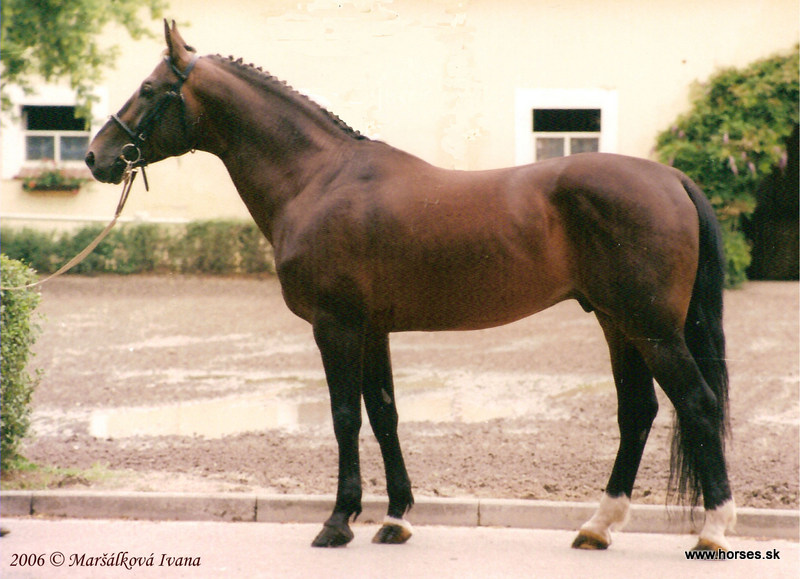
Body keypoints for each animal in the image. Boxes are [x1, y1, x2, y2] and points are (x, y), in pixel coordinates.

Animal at [86, 21, 736, 551]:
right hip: (617, 322)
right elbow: (385, 414)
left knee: (698, 404)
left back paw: (713, 529)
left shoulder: (337, 326)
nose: (96, 156)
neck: (318, 179)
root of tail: (672, 178)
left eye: (149, 89)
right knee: (639, 411)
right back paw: (598, 526)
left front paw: (339, 521)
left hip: (652, 329)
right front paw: (395, 518)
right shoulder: (373, 329)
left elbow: (345, 416)